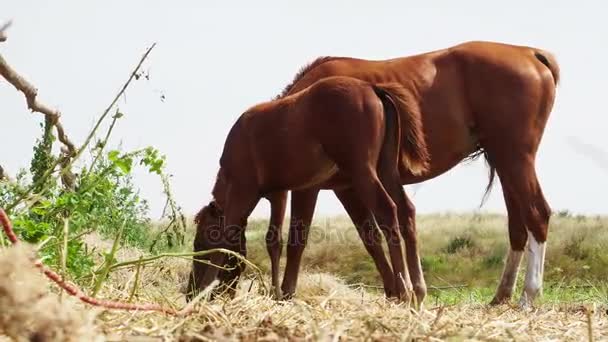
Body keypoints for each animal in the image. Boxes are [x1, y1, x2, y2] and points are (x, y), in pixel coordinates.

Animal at [188, 76, 430, 300]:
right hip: (385, 170)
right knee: (406, 210)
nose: (190, 292)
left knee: (387, 209)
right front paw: (277, 294)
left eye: (199, 243)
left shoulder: (243, 189)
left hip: (362, 171)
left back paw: (404, 291)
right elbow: (277, 241)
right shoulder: (281, 193)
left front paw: (206, 290)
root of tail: (372, 87)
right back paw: (417, 292)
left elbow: (227, 237)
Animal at [266, 40, 560, 308]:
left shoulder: (309, 188)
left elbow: (298, 239)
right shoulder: (347, 188)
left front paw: (287, 294)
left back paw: (528, 297)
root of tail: (530, 53)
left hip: (515, 159)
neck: (294, 113)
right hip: (505, 163)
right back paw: (501, 296)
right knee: (518, 227)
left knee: (537, 215)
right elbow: (371, 238)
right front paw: (395, 292)